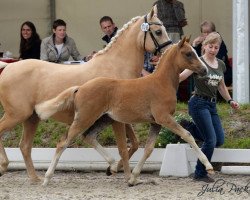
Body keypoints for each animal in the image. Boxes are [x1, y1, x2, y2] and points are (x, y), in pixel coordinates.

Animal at [0, 7, 171, 183]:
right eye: (158, 31)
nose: (168, 51)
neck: (116, 66)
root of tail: (8, 68)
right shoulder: (116, 118)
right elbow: (124, 146)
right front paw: (119, 170)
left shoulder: (122, 116)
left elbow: (135, 144)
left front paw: (113, 168)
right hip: (17, 115)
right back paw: (5, 167)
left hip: (31, 118)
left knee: (25, 146)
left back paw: (36, 178)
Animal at [36, 37, 214, 186]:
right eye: (189, 53)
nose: (205, 70)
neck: (162, 83)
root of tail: (80, 88)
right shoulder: (164, 118)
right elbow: (187, 135)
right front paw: (209, 166)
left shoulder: (155, 123)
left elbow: (148, 149)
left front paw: (134, 178)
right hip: (84, 119)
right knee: (63, 143)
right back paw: (46, 178)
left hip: (103, 119)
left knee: (89, 137)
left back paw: (113, 166)